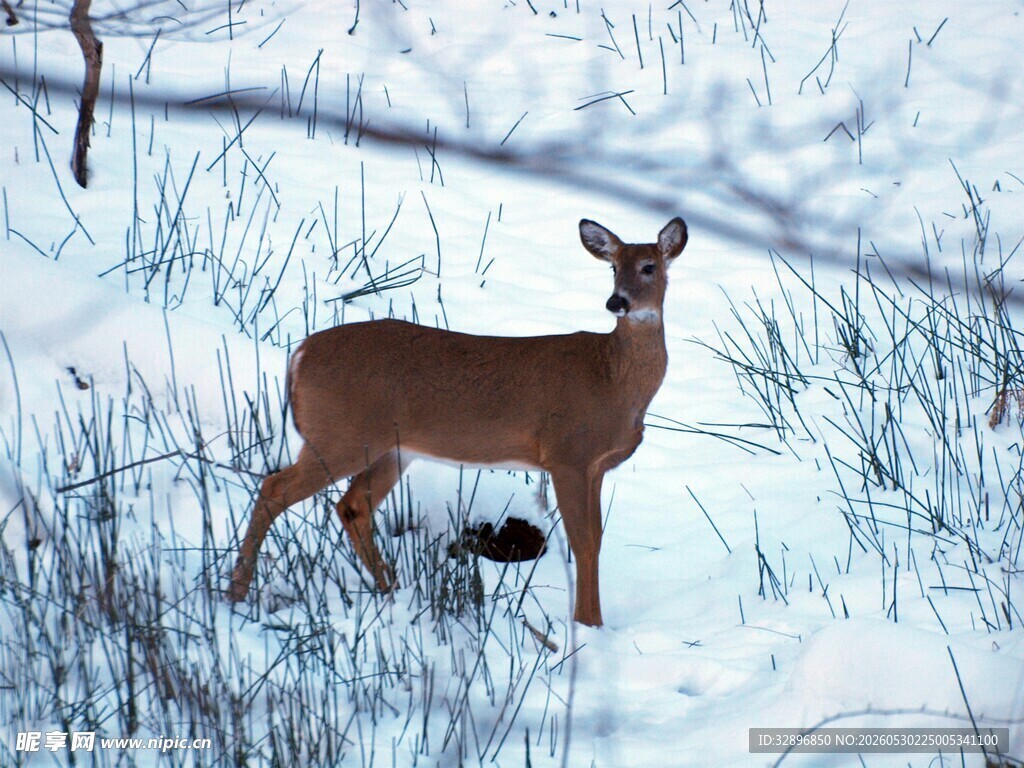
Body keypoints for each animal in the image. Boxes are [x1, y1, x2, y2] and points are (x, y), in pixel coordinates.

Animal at [228, 217, 688, 627]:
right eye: (613, 267)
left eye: (649, 266)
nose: (617, 302)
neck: (612, 380)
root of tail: (299, 354)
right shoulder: (567, 454)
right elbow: (583, 542)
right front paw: (588, 626)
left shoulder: (595, 466)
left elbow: (596, 540)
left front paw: (593, 624)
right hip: (339, 436)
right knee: (274, 488)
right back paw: (236, 593)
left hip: (391, 449)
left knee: (351, 506)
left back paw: (390, 588)